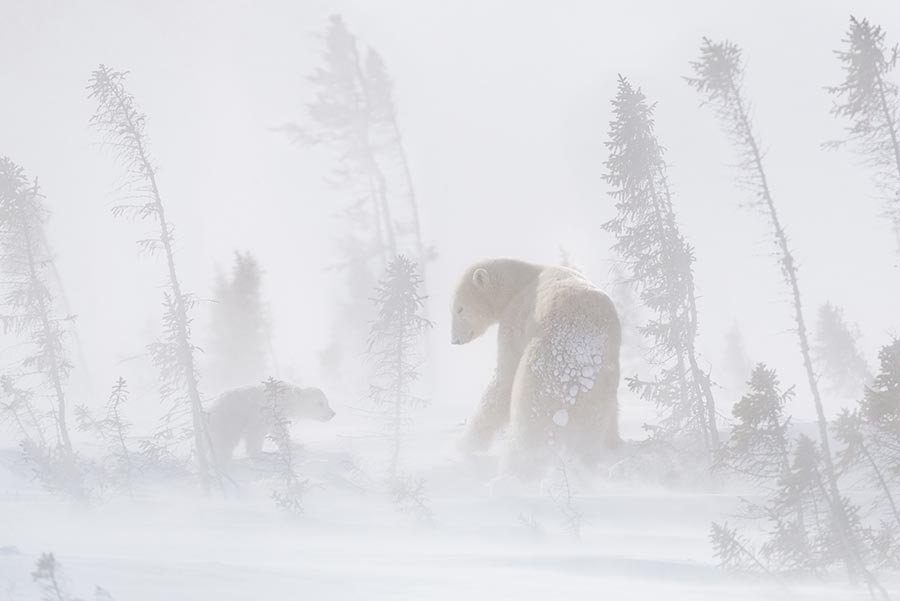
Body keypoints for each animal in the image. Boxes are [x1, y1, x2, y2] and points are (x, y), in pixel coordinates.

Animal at [450, 258, 620, 478]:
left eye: (459, 308)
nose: (454, 340)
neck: (520, 281)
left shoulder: (514, 322)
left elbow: (503, 380)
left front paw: (464, 445)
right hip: (602, 381)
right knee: (593, 425)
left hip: (544, 368)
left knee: (529, 421)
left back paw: (515, 472)